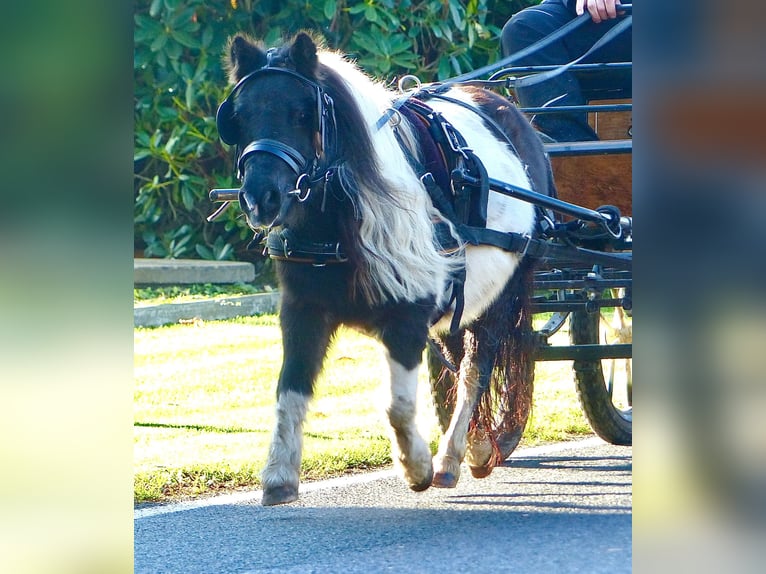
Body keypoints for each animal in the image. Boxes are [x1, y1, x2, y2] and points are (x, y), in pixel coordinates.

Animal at [216, 33, 560, 506]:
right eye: (239, 116)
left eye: (303, 114)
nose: (259, 198)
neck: (340, 221)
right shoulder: (302, 311)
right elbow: (290, 390)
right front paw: (279, 476)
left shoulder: (408, 314)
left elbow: (398, 406)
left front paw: (416, 467)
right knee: (460, 363)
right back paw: (474, 444)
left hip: (502, 294)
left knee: (477, 367)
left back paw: (453, 456)